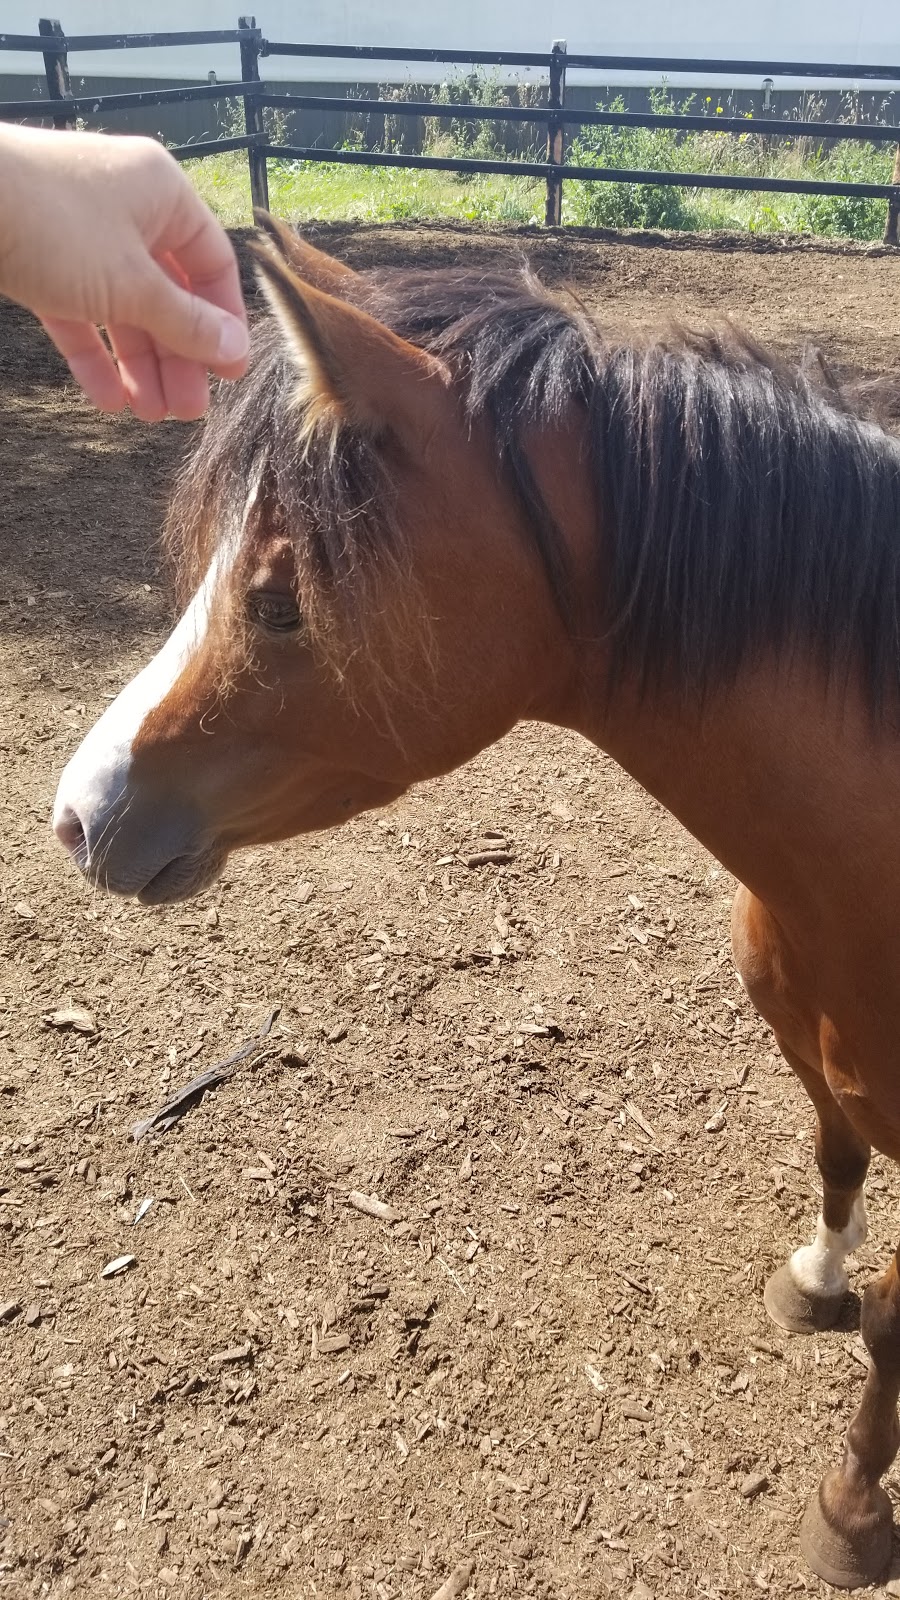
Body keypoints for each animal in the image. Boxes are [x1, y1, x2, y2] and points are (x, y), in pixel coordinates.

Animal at [54, 212, 900, 1587]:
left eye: (281, 600)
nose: (78, 815)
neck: (860, 885)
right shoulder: (817, 1056)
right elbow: (835, 1157)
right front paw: (817, 1274)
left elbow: (893, 1329)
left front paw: (853, 1506)